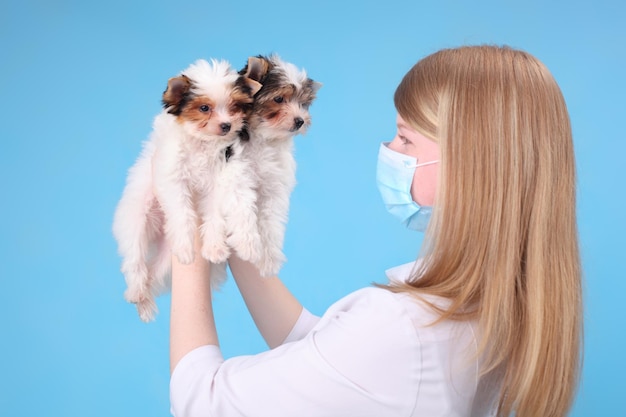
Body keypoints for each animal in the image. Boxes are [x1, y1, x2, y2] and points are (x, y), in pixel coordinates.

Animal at [114, 58, 260, 320]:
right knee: (134, 259)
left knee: (153, 273)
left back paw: (144, 300)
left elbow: (214, 215)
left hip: (165, 260)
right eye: (204, 108)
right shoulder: (172, 176)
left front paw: (214, 247)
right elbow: (182, 212)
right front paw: (185, 244)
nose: (226, 125)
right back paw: (136, 290)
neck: (202, 143)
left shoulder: (217, 180)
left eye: (235, 106)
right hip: (135, 221)